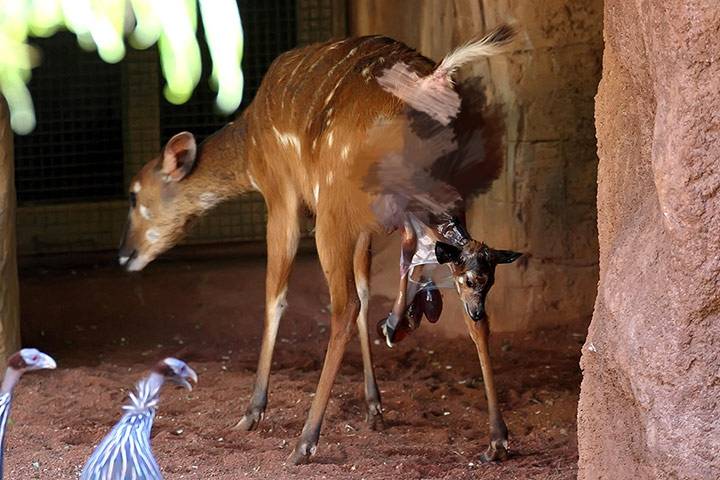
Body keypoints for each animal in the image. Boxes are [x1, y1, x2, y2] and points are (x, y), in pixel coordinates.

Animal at [121, 24, 520, 464]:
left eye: (134, 195)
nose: (125, 255)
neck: (251, 147)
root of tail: (436, 81)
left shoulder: (283, 197)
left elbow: (276, 296)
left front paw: (251, 412)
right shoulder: (361, 225)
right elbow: (367, 286)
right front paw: (374, 407)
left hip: (337, 209)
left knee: (346, 306)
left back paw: (305, 441)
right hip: (442, 201)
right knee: (470, 287)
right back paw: (495, 436)